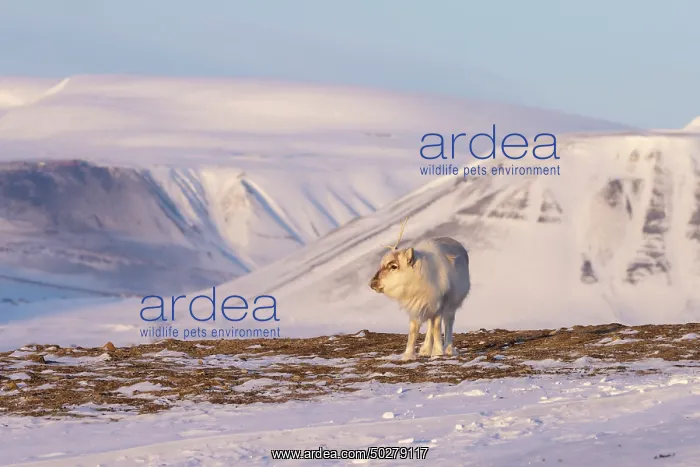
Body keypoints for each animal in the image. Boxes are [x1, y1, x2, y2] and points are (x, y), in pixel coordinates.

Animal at [369, 217, 471, 360]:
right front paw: (408, 355)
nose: (372, 283)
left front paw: (438, 352)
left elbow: (437, 328)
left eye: (393, 266)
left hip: (451, 306)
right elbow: (414, 330)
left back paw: (448, 349)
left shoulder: (439, 305)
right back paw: (425, 349)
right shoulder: (416, 306)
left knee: (448, 322)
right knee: (429, 325)